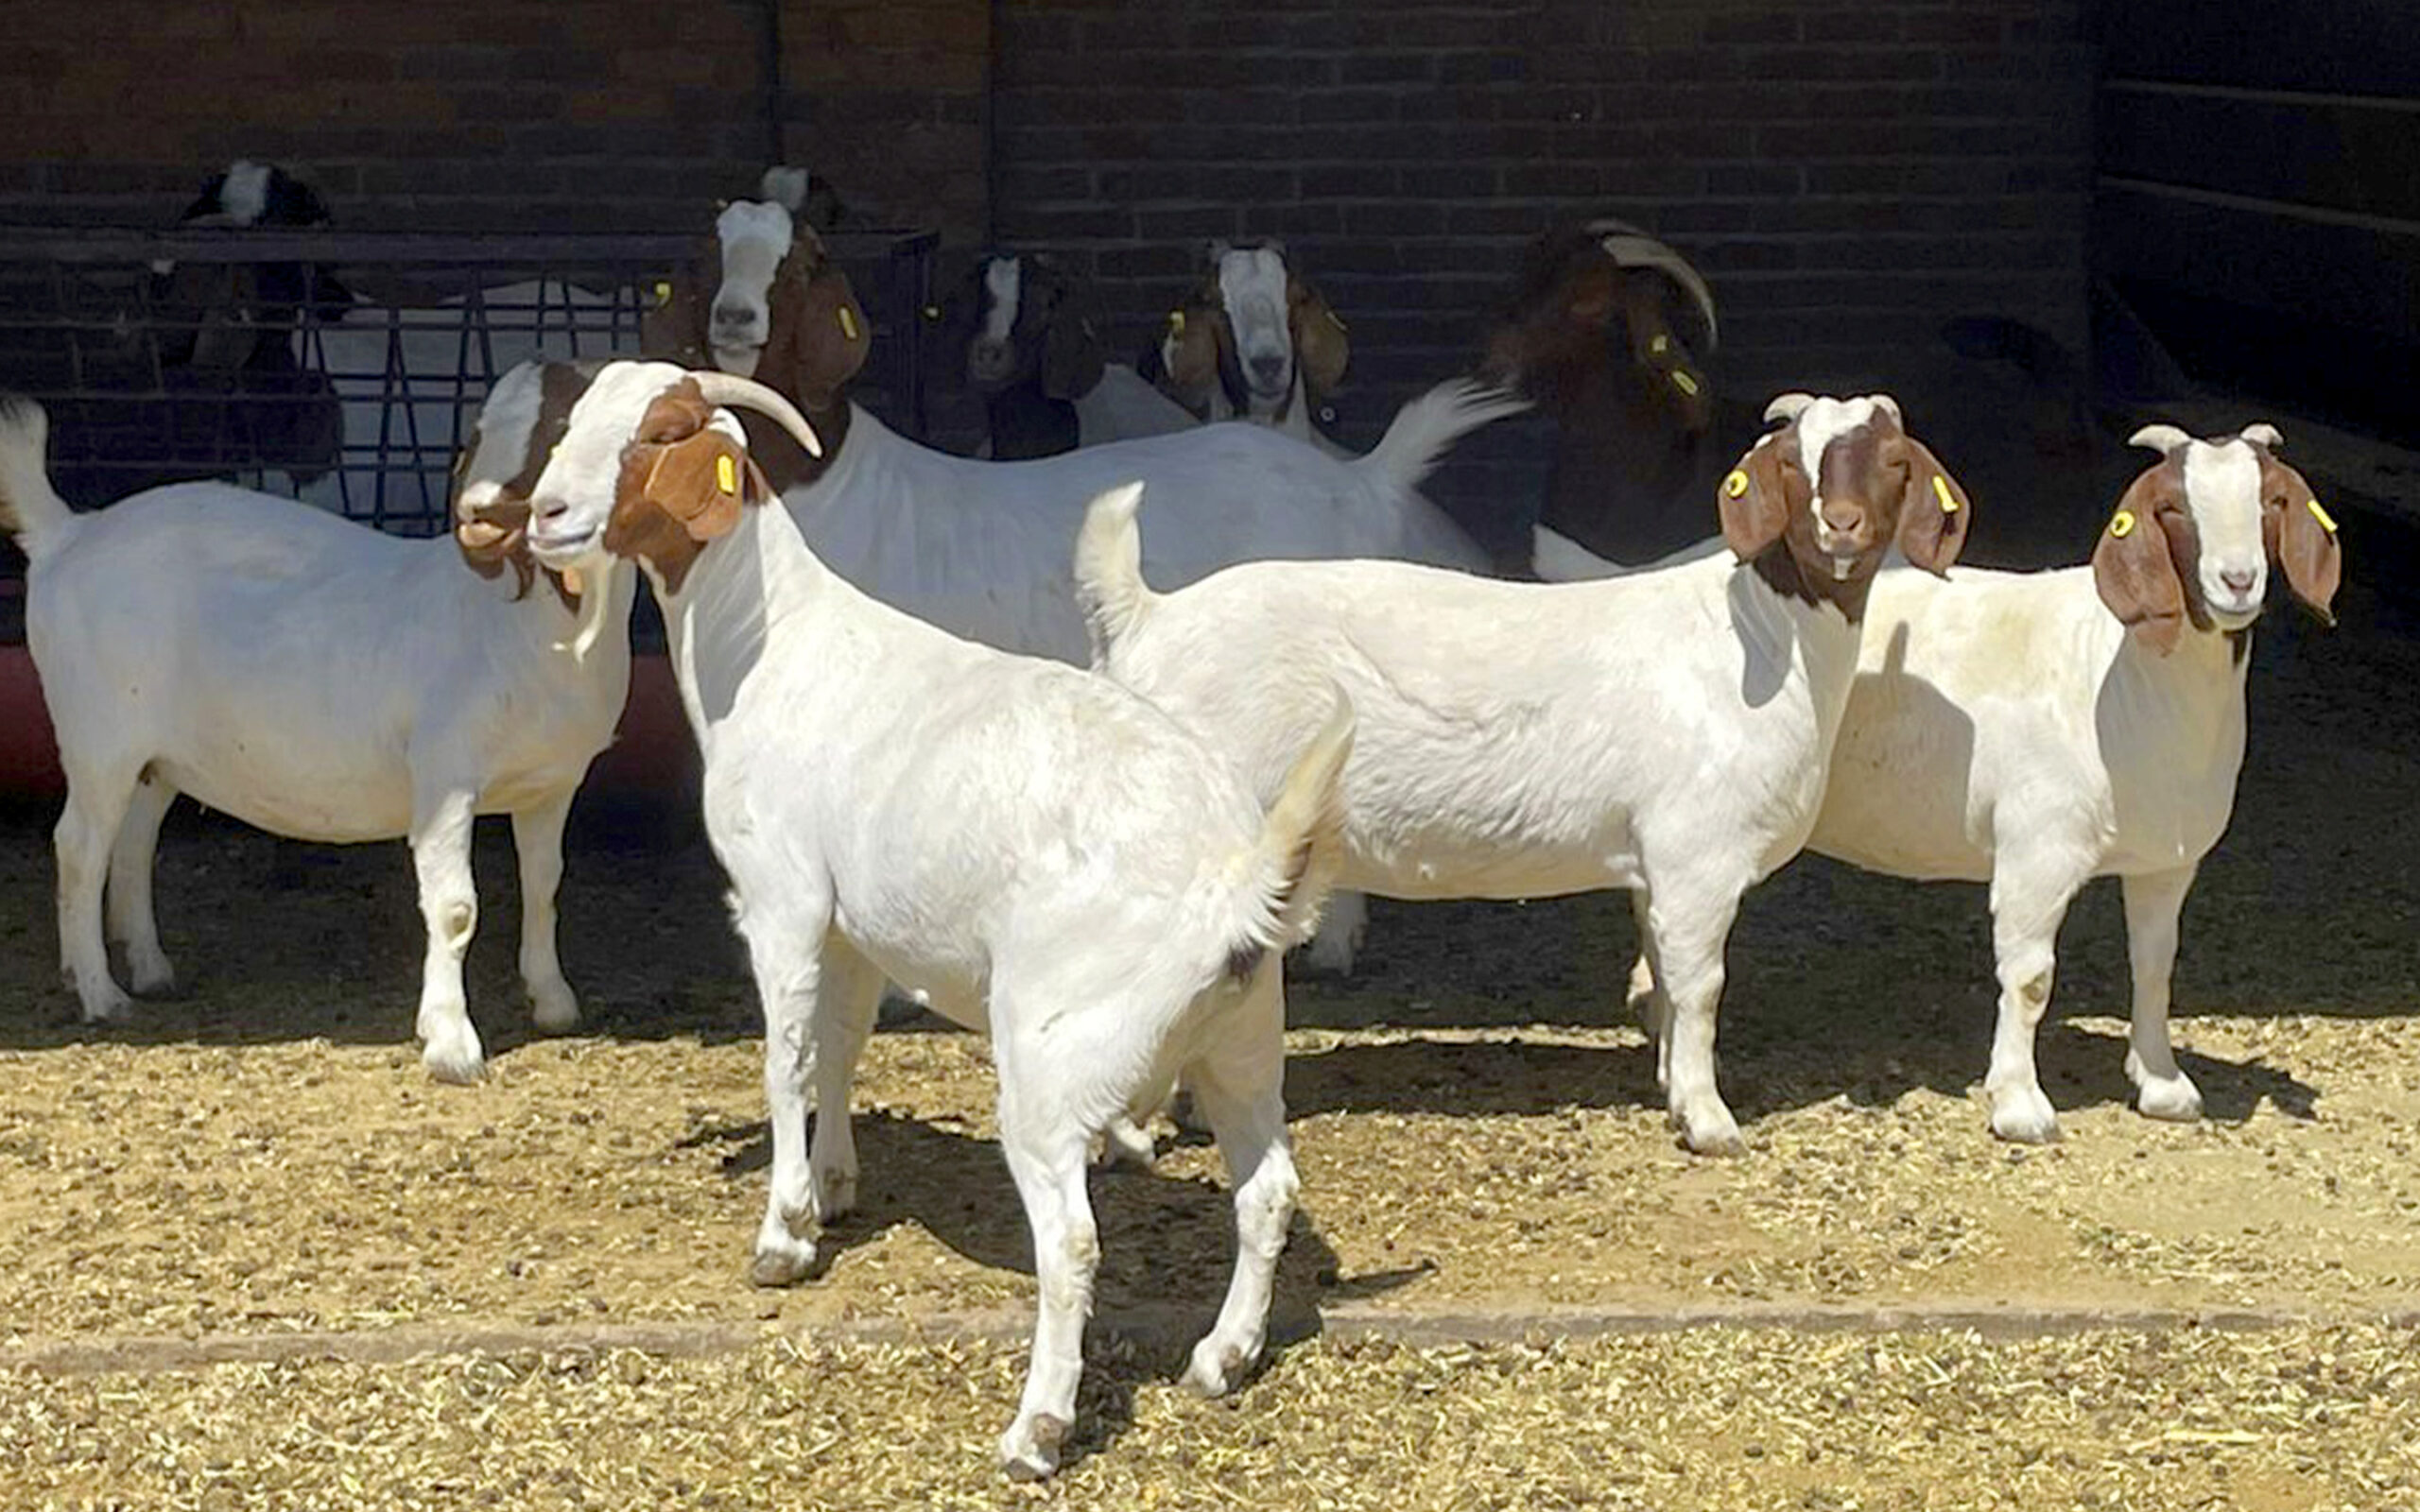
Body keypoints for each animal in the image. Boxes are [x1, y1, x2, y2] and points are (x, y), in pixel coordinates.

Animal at [0, 363, 635, 1083]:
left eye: (564, 430)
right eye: (479, 428)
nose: (480, 512)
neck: (523, 626)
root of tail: (66, 533)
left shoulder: (553, 785)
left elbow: (545, 884)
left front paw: (553, 1001)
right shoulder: (444, 777)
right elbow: (454, 909)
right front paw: (451, 1045)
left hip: (156, 755)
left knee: (132, 841)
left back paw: (149, 967)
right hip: (98, 734)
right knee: (79, 846)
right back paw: (100, 993)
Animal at [502, 358, 1354, 1478]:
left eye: (659, 435)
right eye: (574, 423)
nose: (547, 515)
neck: (765, 646)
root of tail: (1234, 877)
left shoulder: (780, 892)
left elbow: (786, 1059)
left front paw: (783, 1234)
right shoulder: (853, 922)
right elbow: (840, 1045)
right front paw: (835, 1185)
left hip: (1054, 1056)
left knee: (1071, 1239)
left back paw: (1038, 1430)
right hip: (1242, 1041)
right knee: (1268, 1193)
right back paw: (1222, 1358)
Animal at [1077, 392, 1976, 1154]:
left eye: (1894, 460)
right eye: (1792, 463)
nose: (1841, 527)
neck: (1760, 637)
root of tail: (1146, 615)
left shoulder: (1656, 858)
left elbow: (1662, 974)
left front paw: (1671, 1088)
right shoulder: (1698, 852)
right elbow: (1700, 985)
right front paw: (1709, 1120)